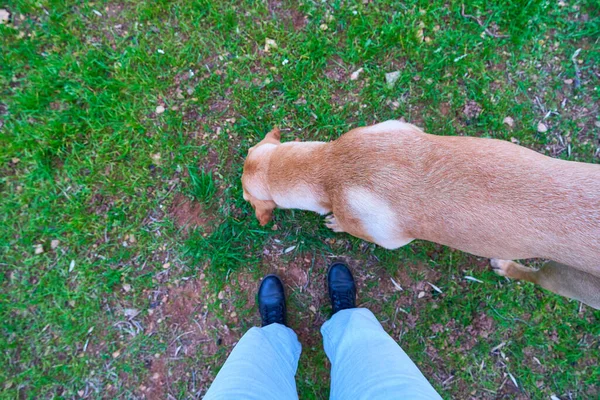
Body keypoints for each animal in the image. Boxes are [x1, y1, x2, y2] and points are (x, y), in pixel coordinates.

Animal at [240, 120, 600, 308]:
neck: (331, 167)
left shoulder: (388, 238)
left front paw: (335, 222)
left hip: (567, 279)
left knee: (538, 276)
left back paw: (506, 267)